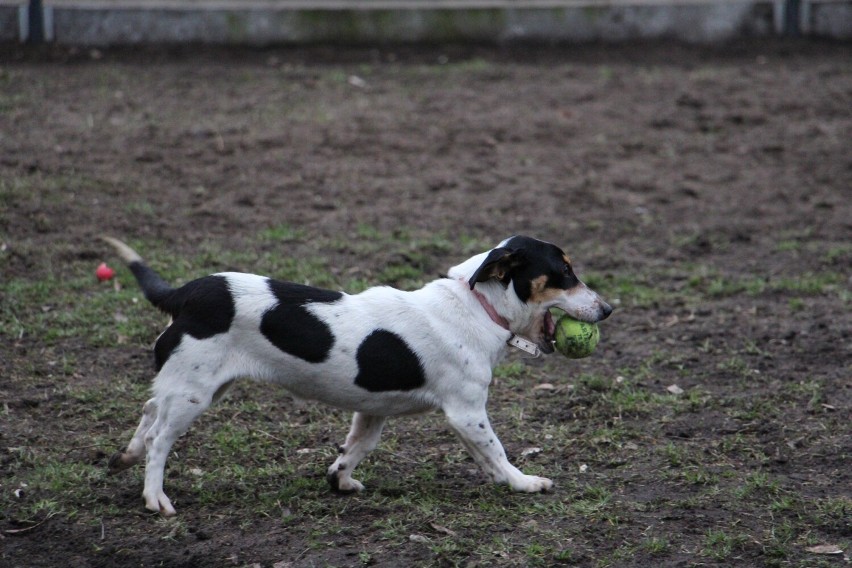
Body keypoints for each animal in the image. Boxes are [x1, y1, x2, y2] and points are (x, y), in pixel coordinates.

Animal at [103, 233, 612, 516]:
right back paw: (155, 498)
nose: (608, 309)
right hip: (193, 394)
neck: (475, 304)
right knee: (158, 440)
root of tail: (184, 293)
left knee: (148, 413)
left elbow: (356, 448)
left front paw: (340, 481)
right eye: (565, 272)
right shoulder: (467, 412)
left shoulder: (373, 410)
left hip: (197, 385)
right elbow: (497, 452)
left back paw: (124, 458)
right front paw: (524, 483)